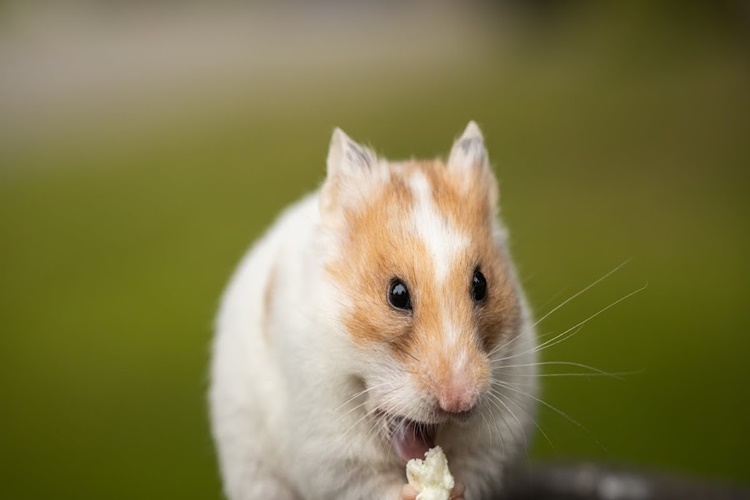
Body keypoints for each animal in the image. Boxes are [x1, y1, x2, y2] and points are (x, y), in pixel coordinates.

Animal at [209, 122, 538, 500]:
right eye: (397, 294)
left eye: (481, 284)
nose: (458, 402)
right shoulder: (331, 455)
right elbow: (370, 485)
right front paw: (414, 491)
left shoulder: (497, 439)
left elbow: (475, 470)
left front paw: (453, 488)